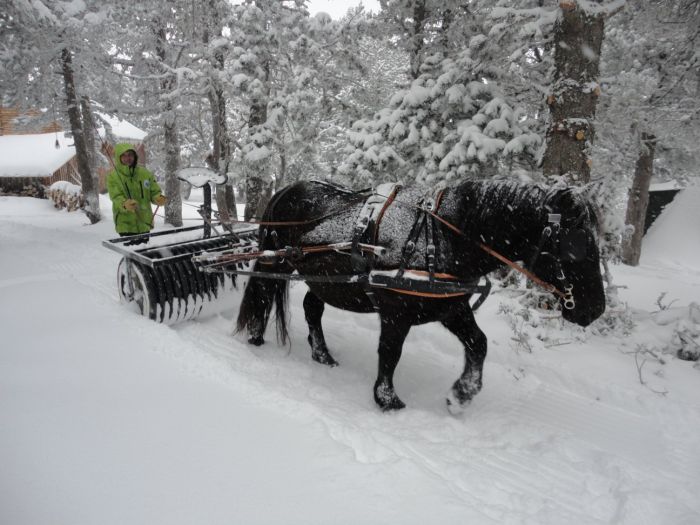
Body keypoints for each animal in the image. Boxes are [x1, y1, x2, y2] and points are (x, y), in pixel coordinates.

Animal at [237, 178, 608, 412]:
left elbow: (479, 344)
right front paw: (387, 399)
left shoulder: (452, 308)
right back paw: (255, 337)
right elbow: (390, 353)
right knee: (263, 293)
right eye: (576, 246)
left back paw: (323, 355)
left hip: (327, 281)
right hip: (275, 261)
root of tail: (285, 189)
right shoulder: (395, 312)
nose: (595, 310)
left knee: (312, 308)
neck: (443, 237)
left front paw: (461, 395)